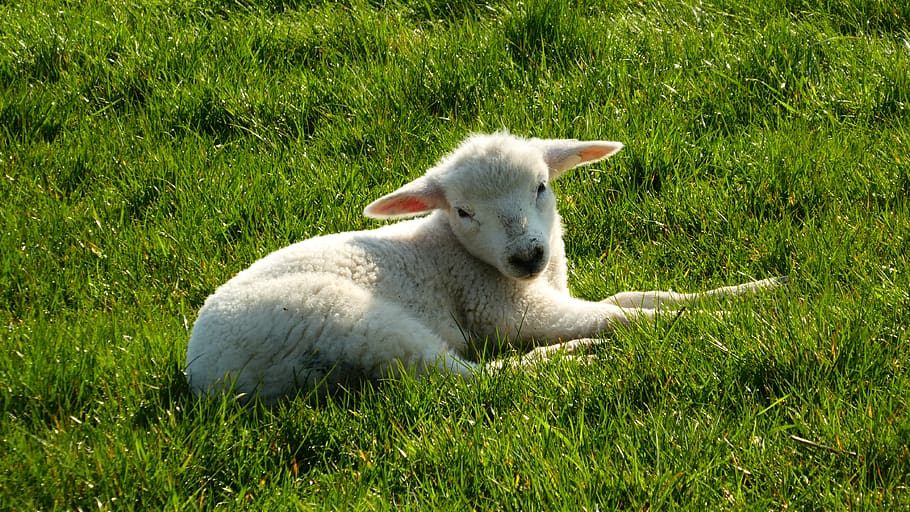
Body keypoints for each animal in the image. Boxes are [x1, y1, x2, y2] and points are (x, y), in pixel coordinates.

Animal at [185, 132, 784, 403]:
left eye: (541, 186)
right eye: (464, 211)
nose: (527, 255)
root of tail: (204, 374)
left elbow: (636, 299)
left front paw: (756, 288)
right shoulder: (507, 311)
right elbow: (620, 317)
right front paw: (720, 323)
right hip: (347, 321)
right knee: (463, 381)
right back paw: (566, 359)